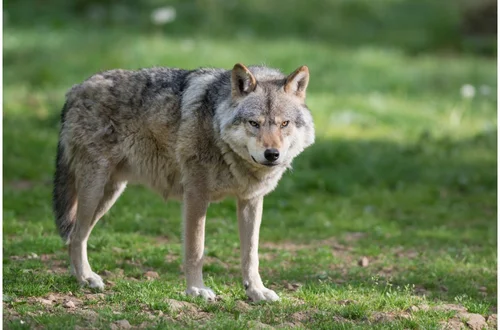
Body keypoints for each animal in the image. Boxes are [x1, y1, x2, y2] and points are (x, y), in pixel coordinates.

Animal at [52, 62, 314, 302]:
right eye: (254, 123)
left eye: (284, 124)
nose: (272, 154)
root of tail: (75, 89)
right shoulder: (196, 195)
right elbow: (196, 249)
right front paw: (196, 290)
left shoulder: (250, 200)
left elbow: (251, 254)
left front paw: (256, 292)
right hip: (95, 191)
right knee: (76, 235)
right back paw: (86, 278)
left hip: (109, 194)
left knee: (75, 236)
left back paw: (80, 278)